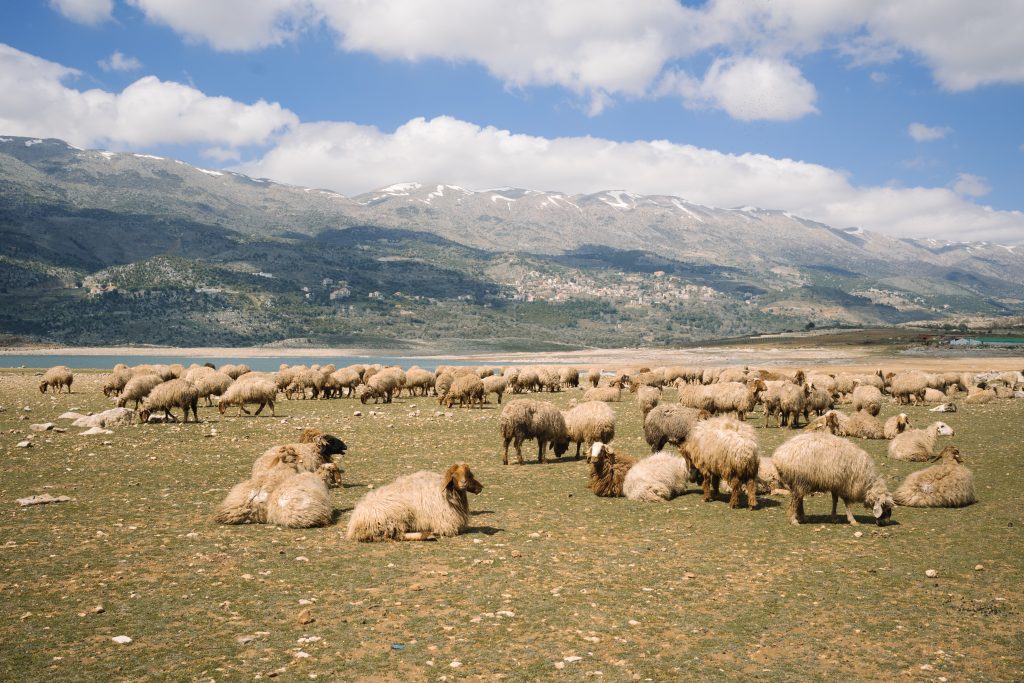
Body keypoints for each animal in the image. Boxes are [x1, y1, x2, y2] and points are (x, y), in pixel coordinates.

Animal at [345, 464, 483, 541]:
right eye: (468, 476)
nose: (481, 487)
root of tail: (355, 523)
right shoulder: (444, 524)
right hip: (397, 516)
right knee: (396, 536)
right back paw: (427, 535)